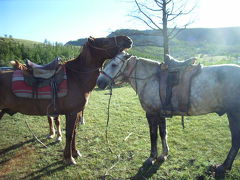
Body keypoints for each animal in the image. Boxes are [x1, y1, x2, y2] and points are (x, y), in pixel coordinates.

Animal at [0, 36, 132, 165]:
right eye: (105, 40)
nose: (128, 39)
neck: (77, 77)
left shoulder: (77, 112)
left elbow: (74, 132)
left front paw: (75, 152)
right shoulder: (71, 113)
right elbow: (69, 134)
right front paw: (69, 158)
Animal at [96, 51, 240, 178]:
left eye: (114, 65)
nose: (100, 82)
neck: (149, 79)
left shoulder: (152, 113)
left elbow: (153, 135)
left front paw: (152, 157)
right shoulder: (161, 113)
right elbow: (163, 133)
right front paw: (164, 154)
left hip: (234, 114)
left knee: (235, 141)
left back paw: (223, 167)